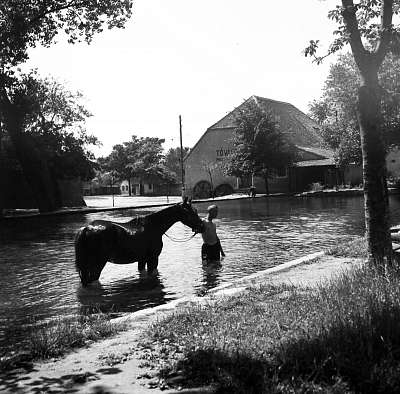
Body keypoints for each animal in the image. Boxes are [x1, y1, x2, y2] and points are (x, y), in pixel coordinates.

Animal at [74, 197, 203, 286]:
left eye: (196, 210)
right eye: (191, 212)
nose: (201, 226)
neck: (154, 227)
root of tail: (86, 229)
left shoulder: (142, 259)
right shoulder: (153, 258)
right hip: (97, 264)